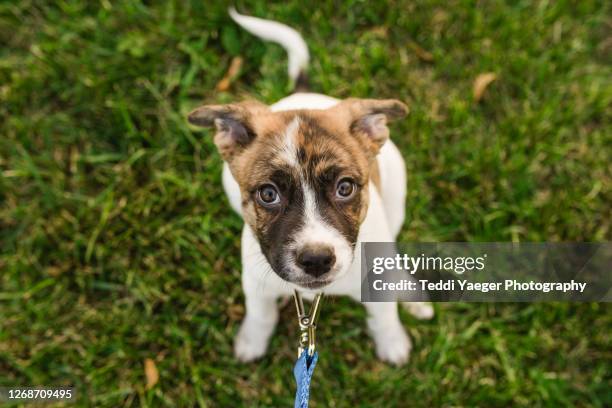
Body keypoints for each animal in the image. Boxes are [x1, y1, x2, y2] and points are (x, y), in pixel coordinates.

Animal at [189, 7, 432, 364]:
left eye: (345, 188)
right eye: (268, 194)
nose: (316, 261)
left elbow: (384, 313)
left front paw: (392, 342)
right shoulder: (254, 277)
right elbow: (259, 311)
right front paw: (252, 340)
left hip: (396, 188)